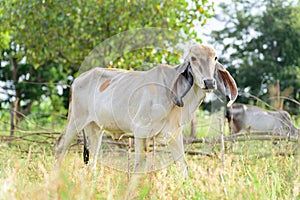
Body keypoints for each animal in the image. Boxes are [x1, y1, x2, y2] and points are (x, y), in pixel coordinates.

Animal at [55, 43, 239, 173]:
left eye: (215, 58)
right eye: (193, 58)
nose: (209, 82)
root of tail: (77, 79)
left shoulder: (174, 133)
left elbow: (183, 166)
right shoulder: (140, 130)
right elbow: (139, 166)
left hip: (95, 128)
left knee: (92, 159)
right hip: (75, 120)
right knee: (60, 147)